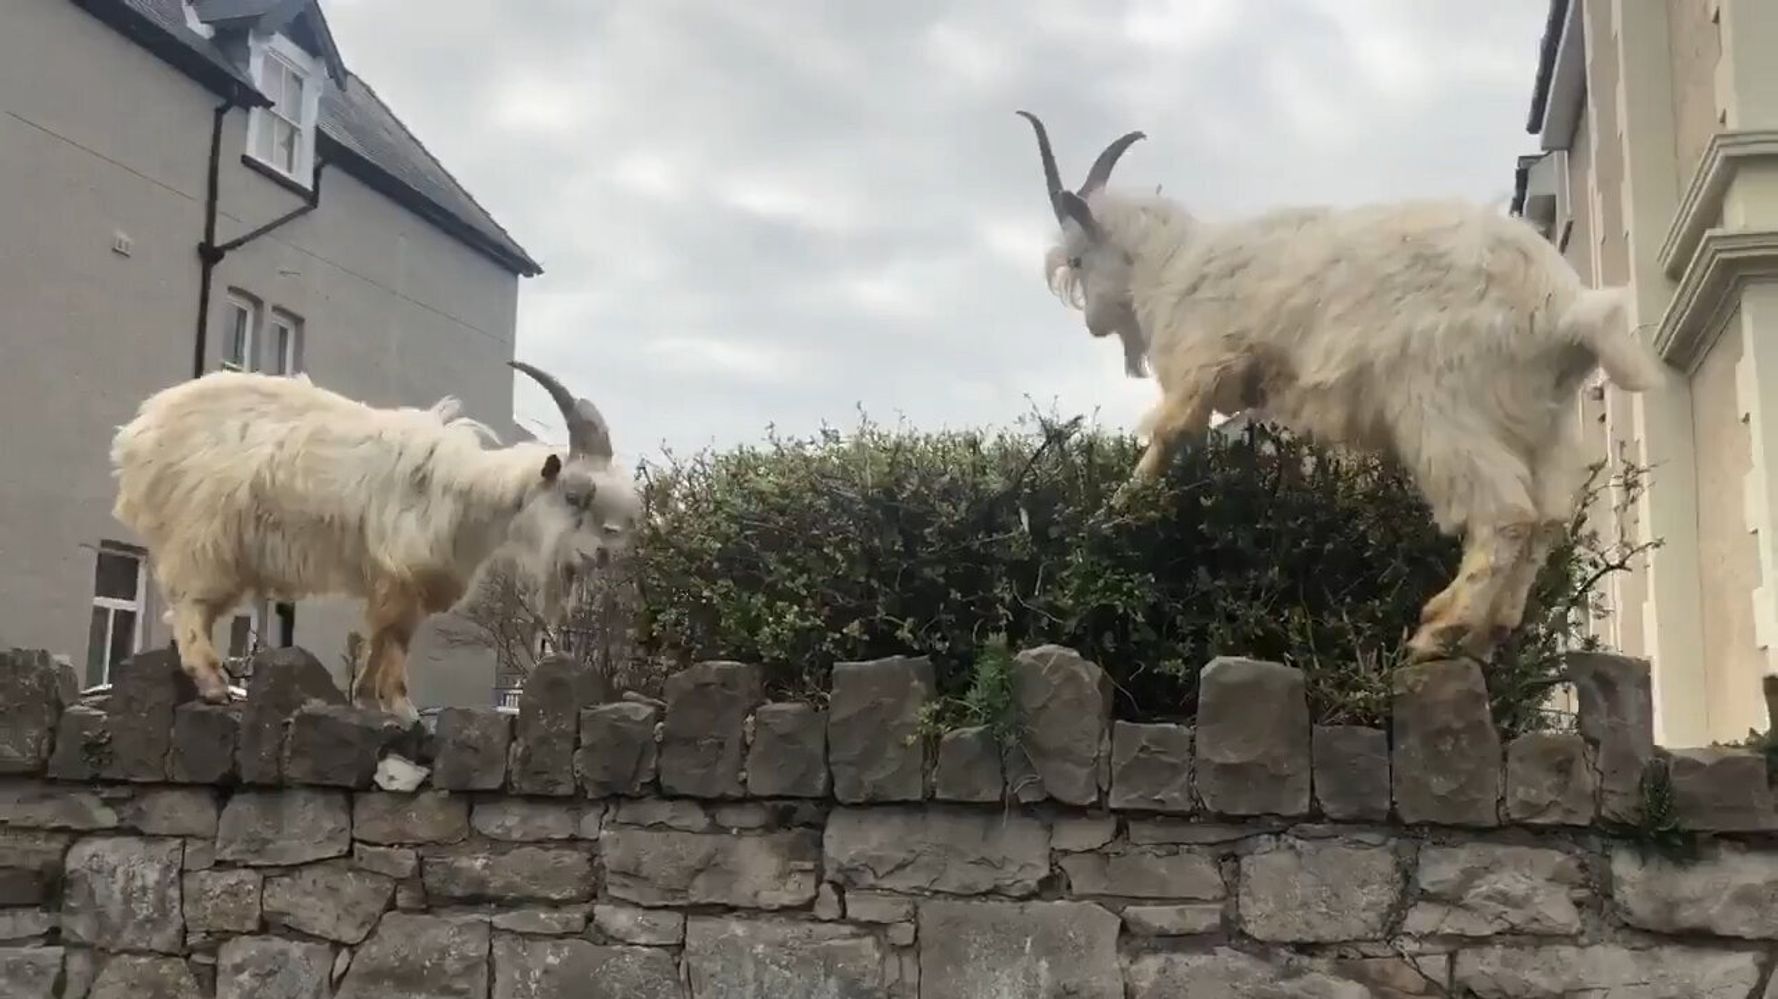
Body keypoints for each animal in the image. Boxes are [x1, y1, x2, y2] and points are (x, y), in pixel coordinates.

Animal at [111, 357, 640, 714]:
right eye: (574, 495)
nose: (602, 553)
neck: (469, 493)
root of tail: (141, 433)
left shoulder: (404, 583)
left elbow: (386, 638)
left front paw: (370, 697)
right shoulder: (402, 571)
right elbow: (394, 638)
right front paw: (400, 707)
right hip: (205, 537)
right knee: (190, 606)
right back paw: (214, 683)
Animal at [1024, 112, 1671, 661]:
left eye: (1077, 260)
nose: (1093, 323)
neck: (1173, 264)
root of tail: (1566, 309)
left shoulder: (1202, 366)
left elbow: (1166, 437)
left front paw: (1112, 513)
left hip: (1446, 405)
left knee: (1506, 513)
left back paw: (1441, 630)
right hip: (1545, 420)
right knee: (1549, 521)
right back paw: (1490, 633)